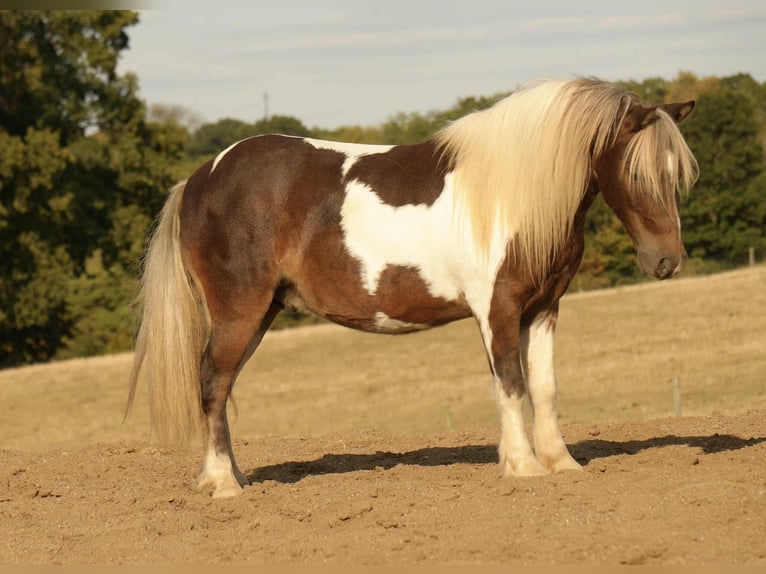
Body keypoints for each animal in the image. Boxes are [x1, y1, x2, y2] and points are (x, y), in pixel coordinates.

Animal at [128, 78, 697, 498]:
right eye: (637, 172)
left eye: (677, 174)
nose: (666, 260)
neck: (511, 195)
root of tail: (199, 178)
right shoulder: (497, 309)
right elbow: (510, 384)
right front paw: (524, 467)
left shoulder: (543, 309)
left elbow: (544, 386)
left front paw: (561, 463)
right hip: (239, 311)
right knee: (211, 382)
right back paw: (224, 484)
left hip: (261, 313)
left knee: (220, 386)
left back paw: (230, 477)